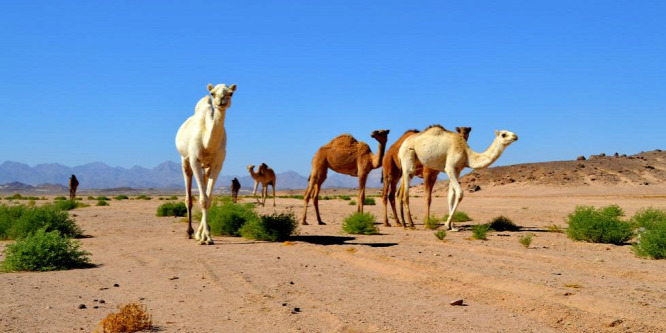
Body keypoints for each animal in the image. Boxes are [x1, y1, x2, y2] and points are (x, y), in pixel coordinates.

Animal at [176, 83, 236, 244]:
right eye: (213, 93)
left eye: (231, 93)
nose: (222, 100)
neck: (207, 142)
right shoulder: (194, 160)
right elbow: (203, 200)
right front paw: (204, 237)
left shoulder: (217, 164)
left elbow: (208, 200)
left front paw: (206, 236)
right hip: (185, 161)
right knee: (188, 198)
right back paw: (189, 232)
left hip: (206, 167)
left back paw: (198, 233)